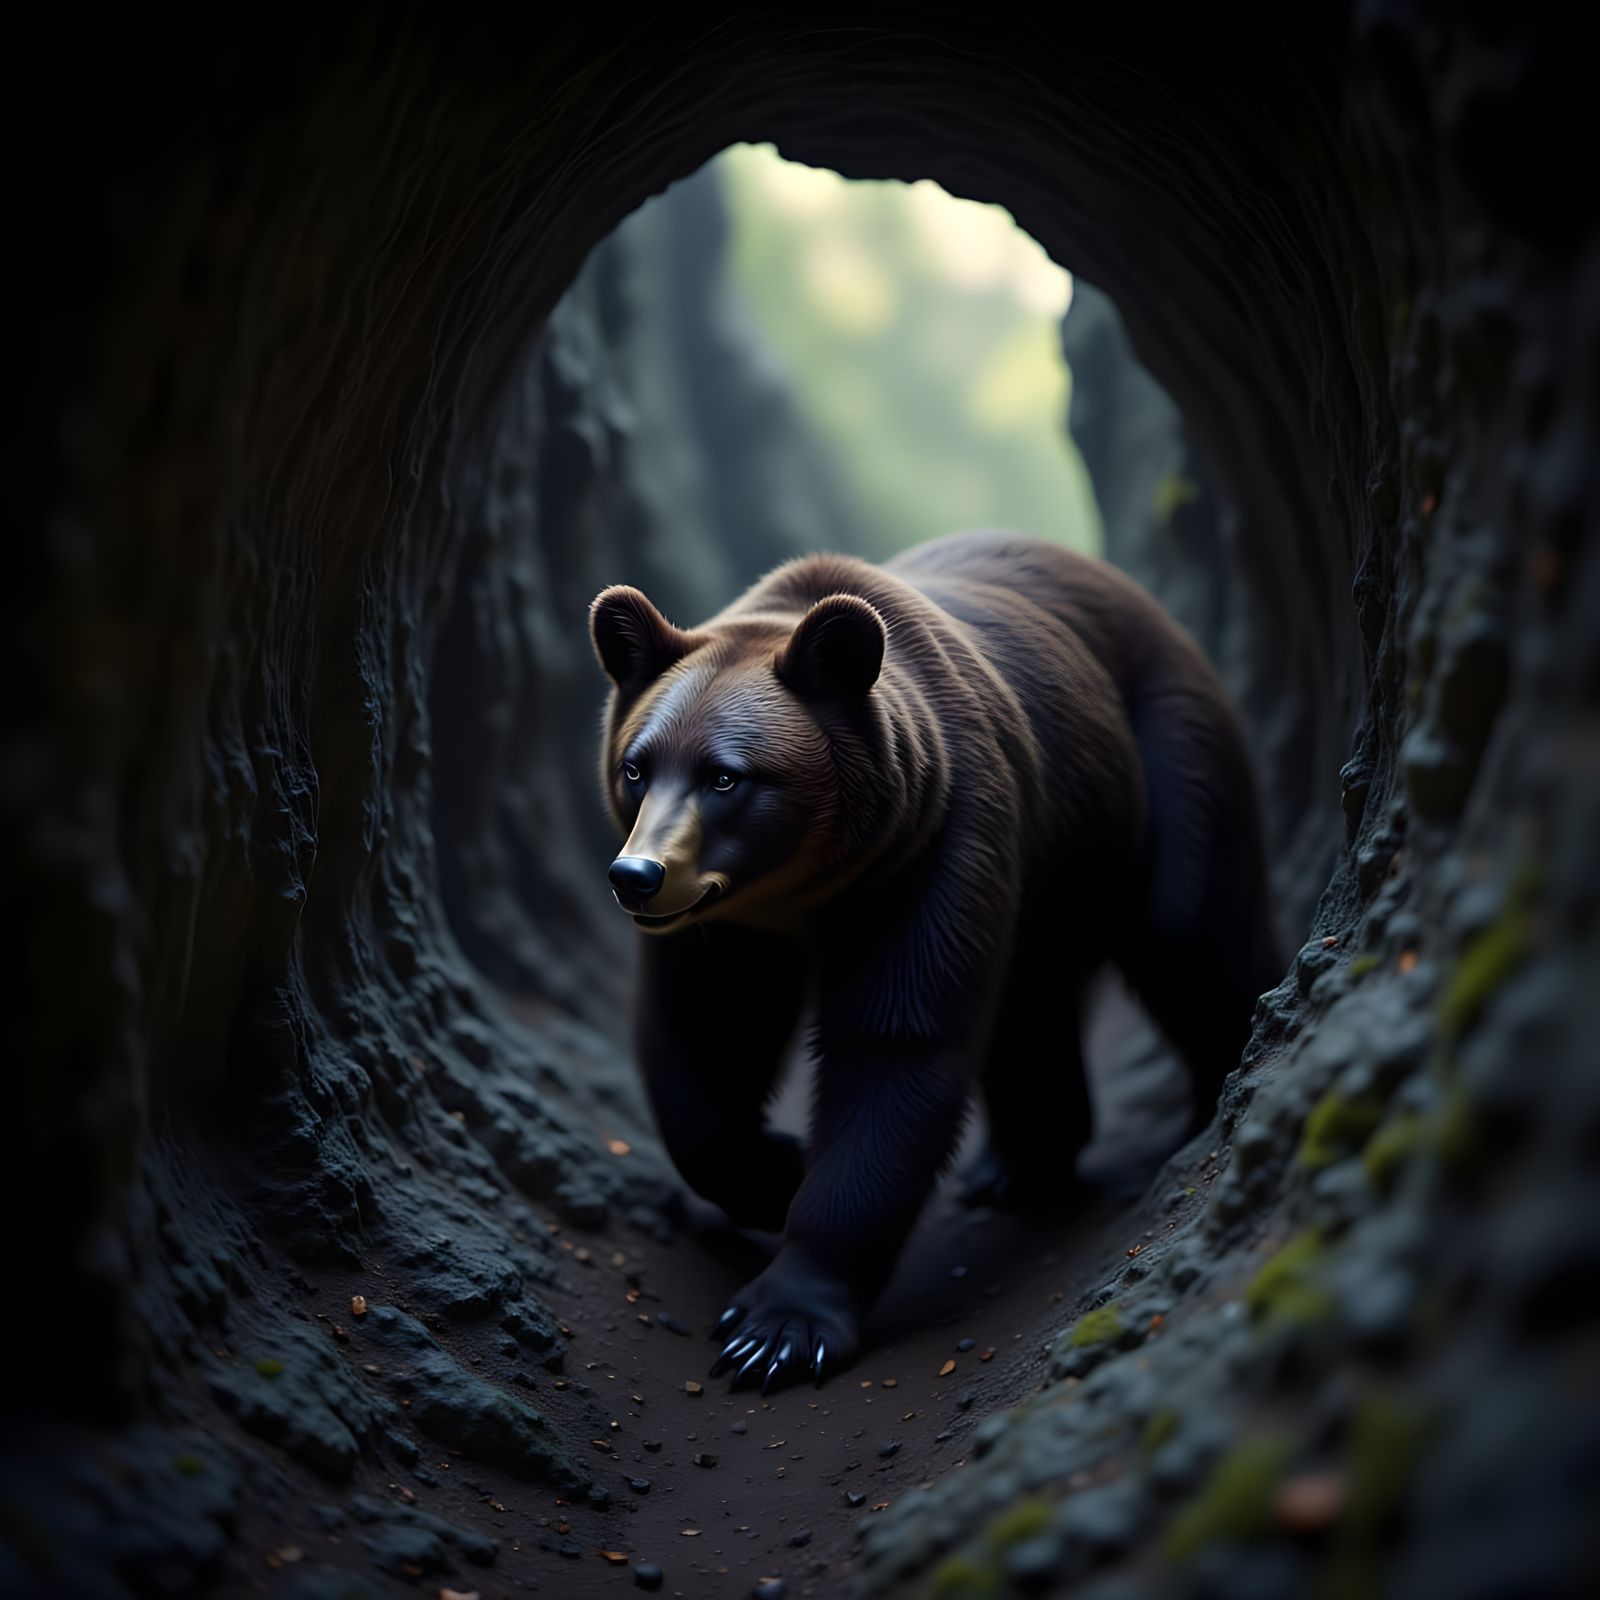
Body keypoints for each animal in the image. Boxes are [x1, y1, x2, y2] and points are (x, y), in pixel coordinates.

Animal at [588, 529, 1280, 1394]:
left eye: (725, 776)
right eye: (636, 765)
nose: (637, 875)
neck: (801, 889)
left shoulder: (937, 845)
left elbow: (896, 1048)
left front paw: (778, 1326)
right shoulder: (723, 926)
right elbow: (704, 1042)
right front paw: (774, 1172)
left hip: (1166, 757)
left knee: (1191, 930)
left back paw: (1211, 1095)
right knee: (1031, 1002)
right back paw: (1020, 1165)